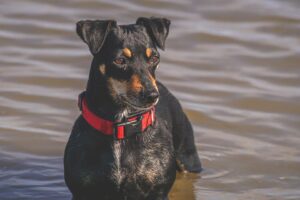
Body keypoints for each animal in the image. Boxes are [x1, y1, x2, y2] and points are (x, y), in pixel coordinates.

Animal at [64, 17, 203, 200]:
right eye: (120, 60)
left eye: (154, 58)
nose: (152, 95)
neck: (121, 126)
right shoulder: (82, 191)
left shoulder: (158, 191)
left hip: (188, 155)